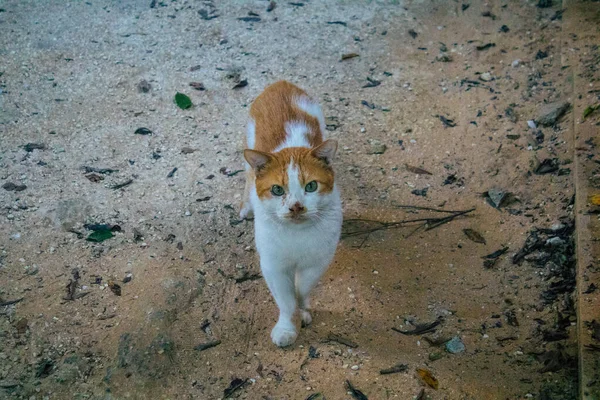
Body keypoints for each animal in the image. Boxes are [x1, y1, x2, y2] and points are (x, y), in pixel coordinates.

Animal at [240, 80, 342, 346]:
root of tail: (280, 84)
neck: (296, 236)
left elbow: (302, 287)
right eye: (277, 190)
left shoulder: (318, 261)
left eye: (311, 186)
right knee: (248, 176)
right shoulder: (273, 265)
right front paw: (287, 327)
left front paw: (303, 309)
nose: (296, 206)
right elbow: (285, 300)